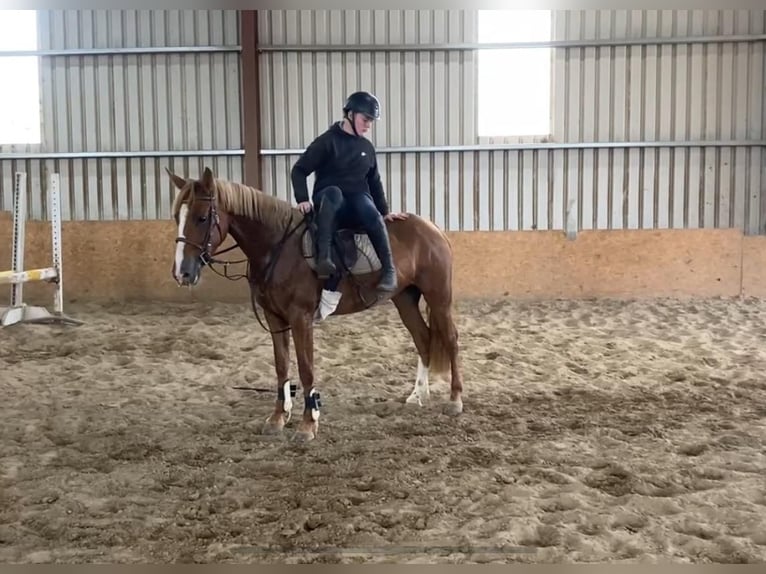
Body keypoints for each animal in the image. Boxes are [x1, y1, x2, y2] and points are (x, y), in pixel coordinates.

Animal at [168, 168, 464, 446]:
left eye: (201, 218)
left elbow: (305, 368)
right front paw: (277, 418)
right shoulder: (274, 318)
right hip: (404, 299)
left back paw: (455, 400)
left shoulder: (300, 317)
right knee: (423, 339)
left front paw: (308, 424)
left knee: (450, 339)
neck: (278, 247)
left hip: (439, 297)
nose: (182, 273)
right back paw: (417, 395)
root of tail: (432, 228)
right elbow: (281, 366)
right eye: (177, 218)